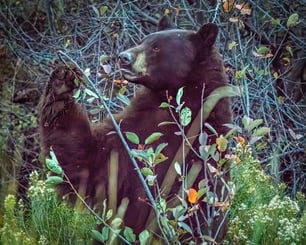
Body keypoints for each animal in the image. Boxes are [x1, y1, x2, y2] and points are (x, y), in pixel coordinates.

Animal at [40, 16, 232, 242]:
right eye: (144, 40)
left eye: (156, 47)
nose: (123, 57)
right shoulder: (132, 134)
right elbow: (86, 159)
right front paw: (62, 82)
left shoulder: (202, 155)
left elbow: (195, 206)